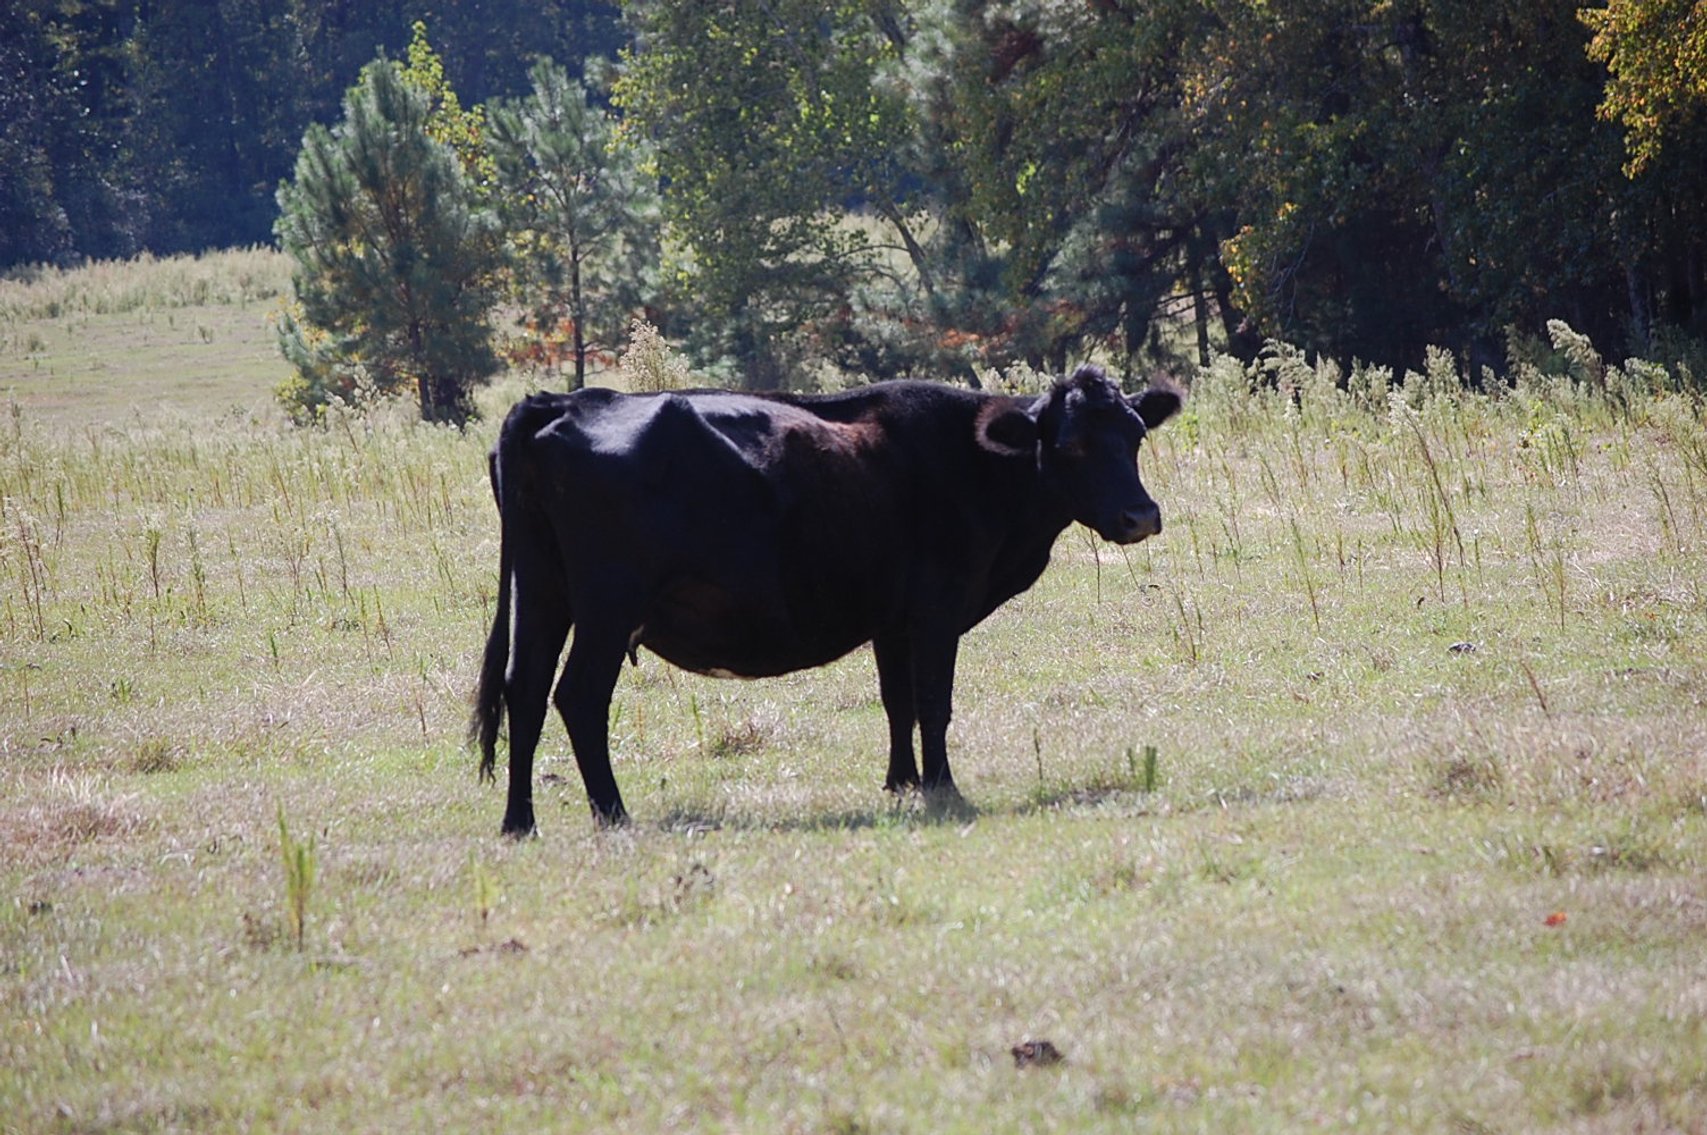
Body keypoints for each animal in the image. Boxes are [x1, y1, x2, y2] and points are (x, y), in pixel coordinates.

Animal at [471, 363, 1181, 835]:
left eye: (1136, 435)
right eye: (1072, 444)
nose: (1140, 515)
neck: (977, 464)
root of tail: (563, 402)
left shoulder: (893, 618)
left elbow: (898, 702)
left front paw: (901, 783)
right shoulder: (937, 607)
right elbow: (933, 701)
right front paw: (943, 789)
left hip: (541, 590)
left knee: (523, 691)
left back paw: (519, 822)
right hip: (608, 605)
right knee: (578, 695)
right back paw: (614, 813)